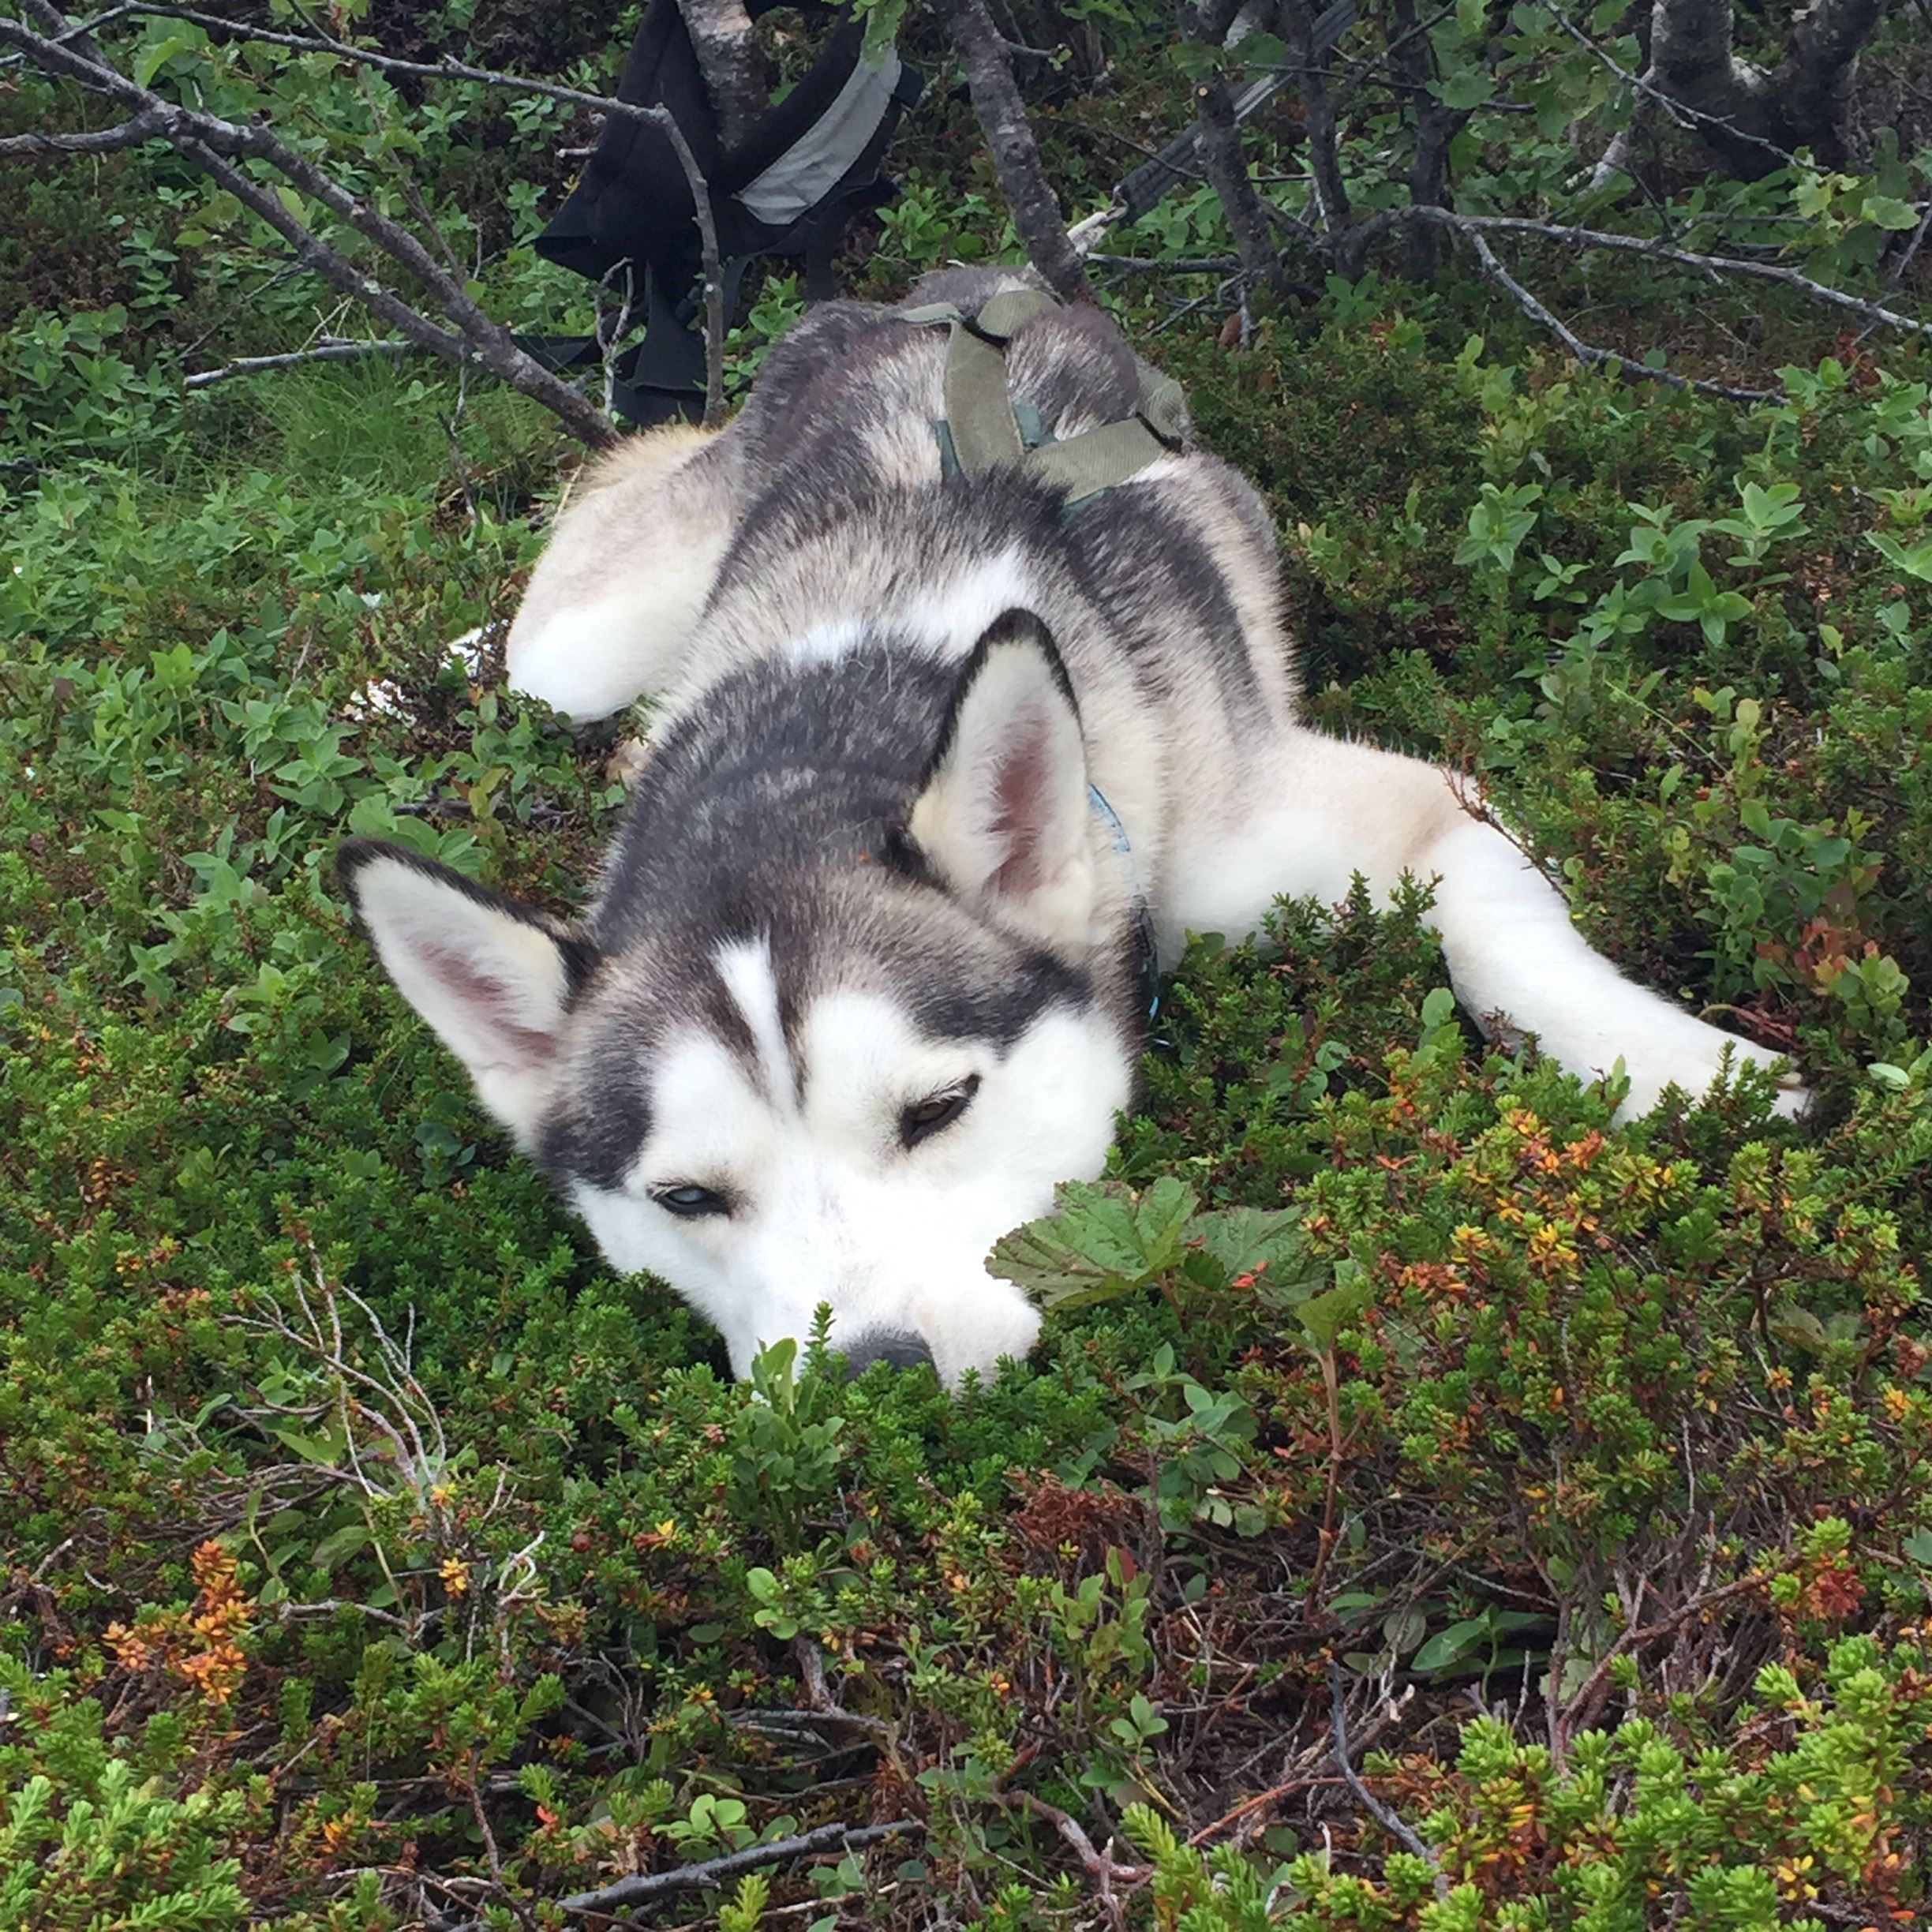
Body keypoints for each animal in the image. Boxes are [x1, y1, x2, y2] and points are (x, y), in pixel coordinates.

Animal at [339, 276, 1800, 1391]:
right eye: (688, 1200)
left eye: (938, 1109)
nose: (875, 1378)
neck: (836, 722)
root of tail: (907, 296)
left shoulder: (1351, 815)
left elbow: (1504, 940)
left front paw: (1692, 1068)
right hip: (585, 650)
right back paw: (405, 673)